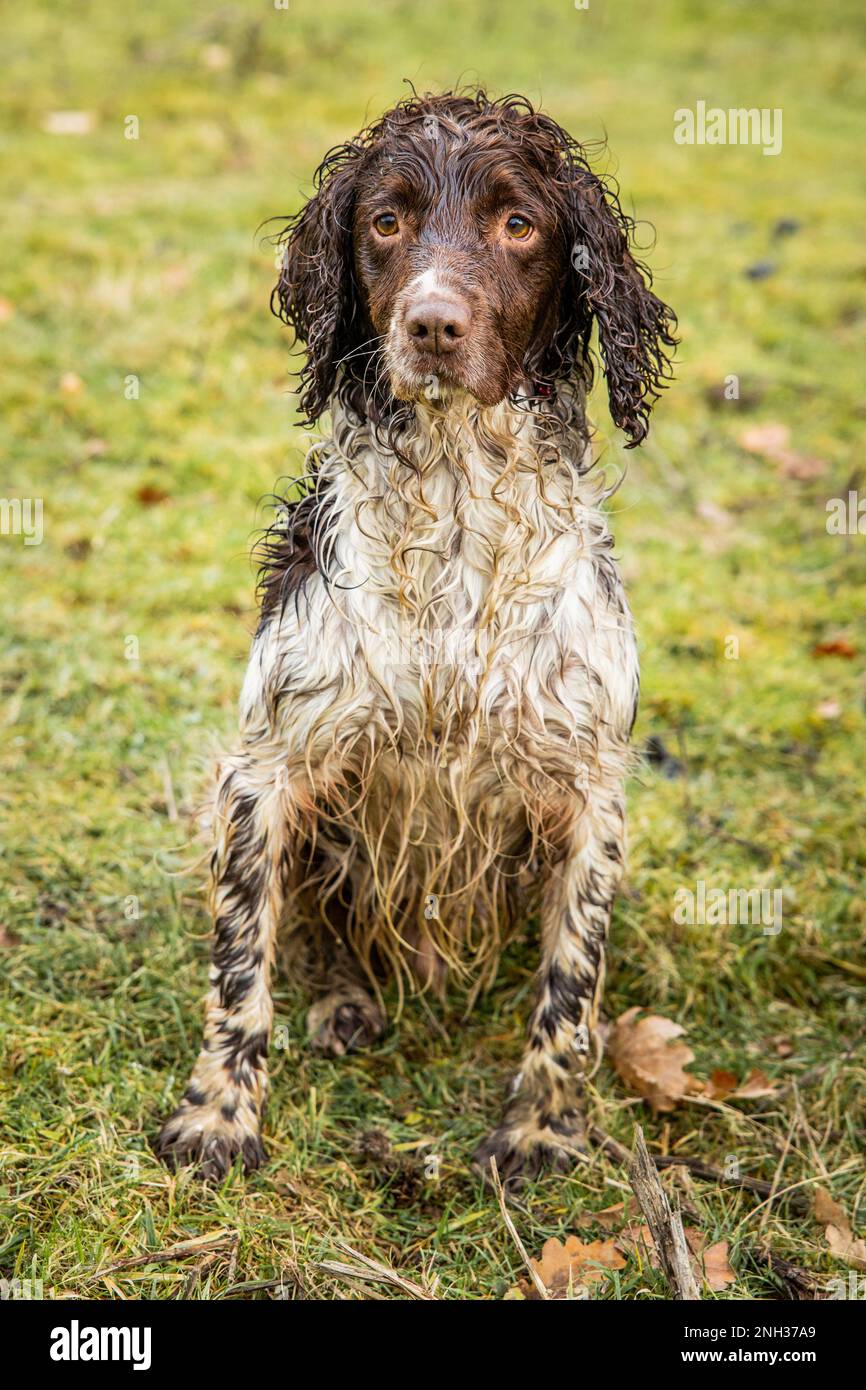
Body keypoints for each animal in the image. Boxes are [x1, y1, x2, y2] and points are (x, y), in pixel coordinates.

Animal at [154, 86, 678, 1178]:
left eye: (518, 224)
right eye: (385, 221)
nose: (433, 324)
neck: (454, 506)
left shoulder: (589, 786)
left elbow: (571, 986)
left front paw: (541, 1126)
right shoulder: (266, 771)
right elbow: (240, 968)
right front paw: (218, 1116)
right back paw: (346, 999)